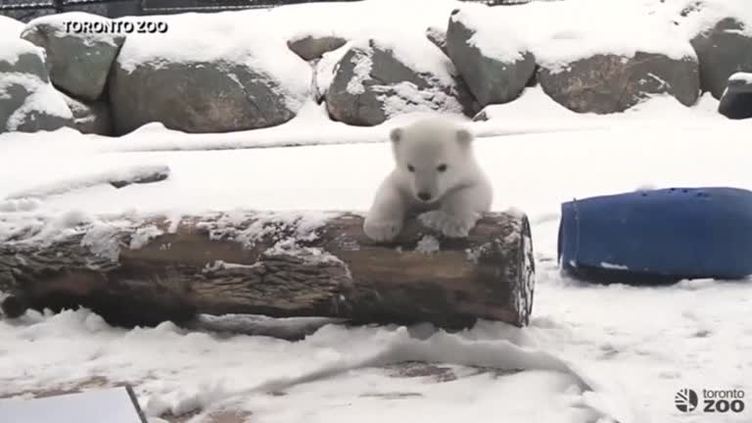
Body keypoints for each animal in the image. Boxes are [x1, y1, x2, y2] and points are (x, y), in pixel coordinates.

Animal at [363, 118, 492, 242]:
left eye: (442, 166)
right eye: (410, 167)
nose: (424, 195)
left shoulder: (469, 176)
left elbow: (473, 192)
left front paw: (451, 222)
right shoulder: (403, 180)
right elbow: (389, 191)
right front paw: (380, 228)